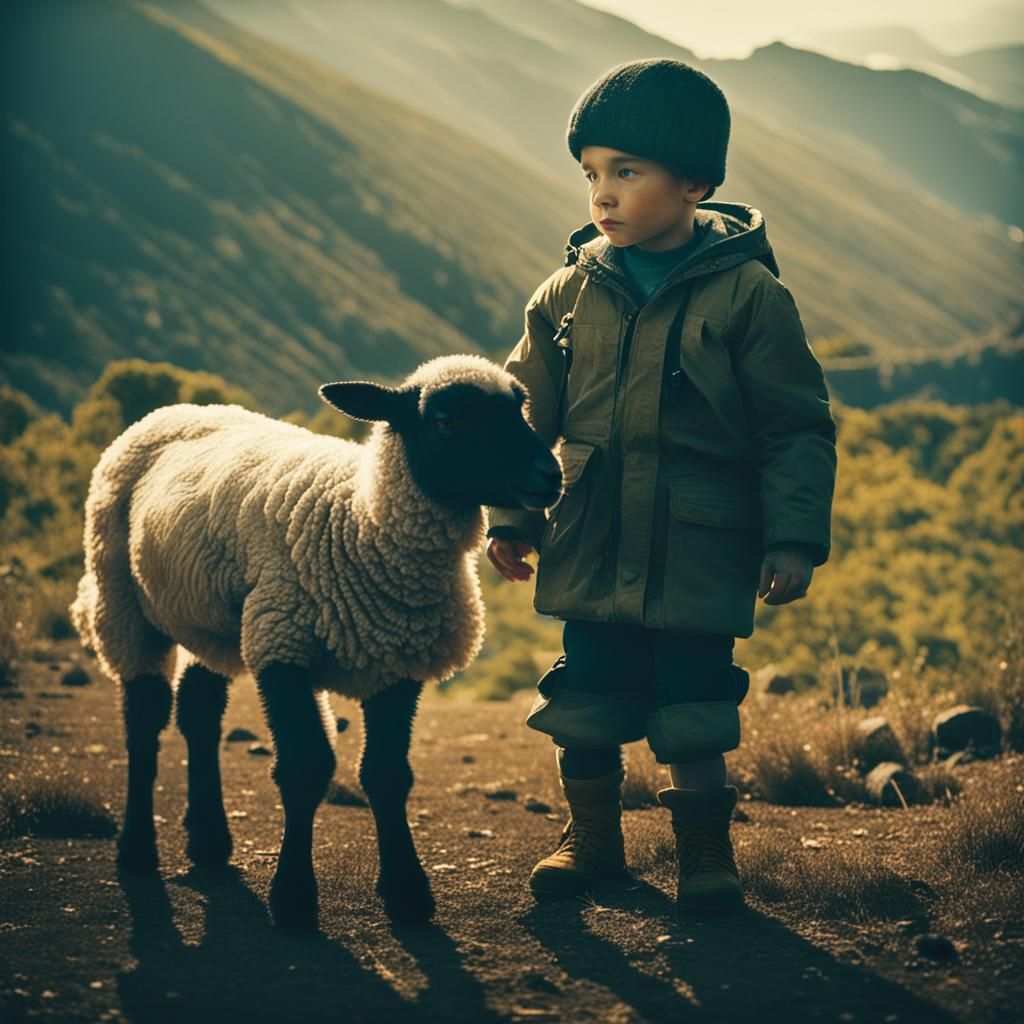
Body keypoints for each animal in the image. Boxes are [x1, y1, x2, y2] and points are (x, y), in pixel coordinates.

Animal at [69, 354, 561, 929]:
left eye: (520, 407)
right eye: (446, 421)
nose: (550, 475)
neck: (361, 521)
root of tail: (175, 408)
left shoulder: (398, 659)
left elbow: (387, 775)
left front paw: (407, 894)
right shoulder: (282, 643)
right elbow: (305, 768)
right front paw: (294, 898)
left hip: (210, 618)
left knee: (199, 712)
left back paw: (209, 842)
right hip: (124, 597)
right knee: (144, 720)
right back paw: (137, 850)